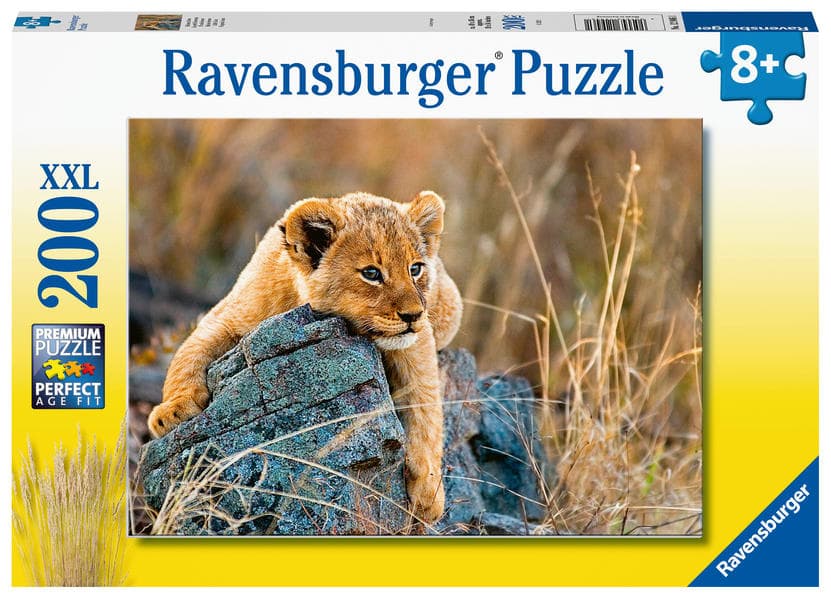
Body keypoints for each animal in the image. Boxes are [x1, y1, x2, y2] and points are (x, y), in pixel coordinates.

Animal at [147, 190, 463, 524]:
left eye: (415, 269)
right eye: (371, 273)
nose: (413, 315)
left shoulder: (417, 343)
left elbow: (426, 407)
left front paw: (429, 493)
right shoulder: (227, 316)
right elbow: (188, 354)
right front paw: (171, 412)